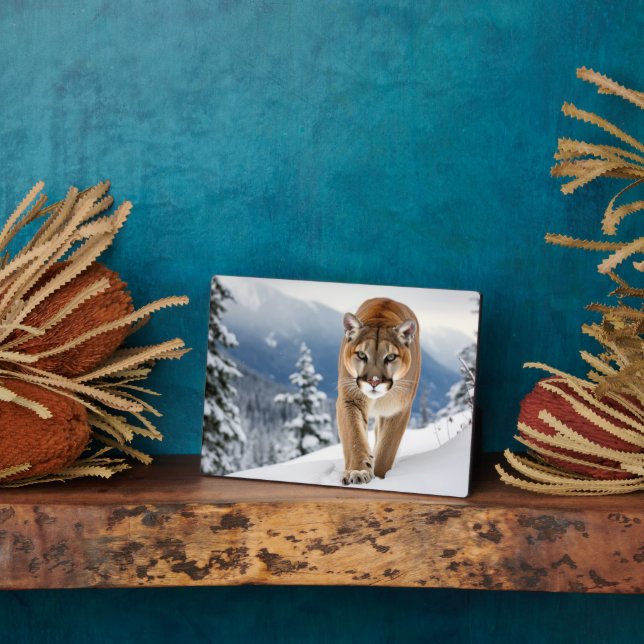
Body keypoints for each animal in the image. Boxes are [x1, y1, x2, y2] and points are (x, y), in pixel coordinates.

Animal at [337, 297, 421, 485]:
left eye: (390, 357)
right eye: (361, 355)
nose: (373, 381)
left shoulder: (397, 410)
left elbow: (387, 449)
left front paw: (381, 477)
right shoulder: (350, 399)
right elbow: (354, 438)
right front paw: (357, 471)